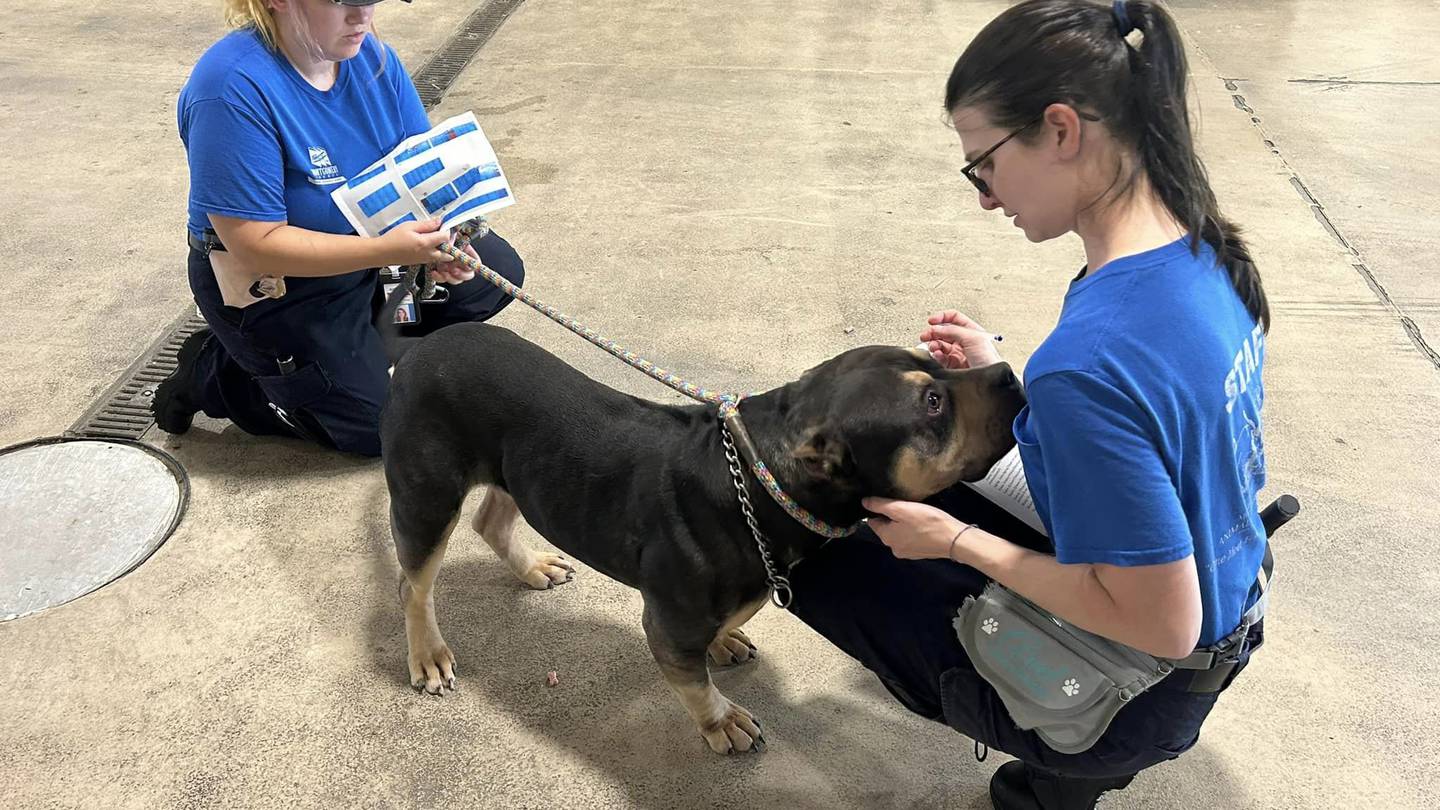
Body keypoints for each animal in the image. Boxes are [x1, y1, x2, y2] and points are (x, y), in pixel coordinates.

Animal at [383, 321, 1025, 749]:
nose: (1008, 371)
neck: (760, 479)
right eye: (933, 402)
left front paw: (722, 642)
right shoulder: (668, 625)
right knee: (414, 585)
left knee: (490, 519)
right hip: (426, 495)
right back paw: (428, 654)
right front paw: (722, 720)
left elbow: (726, 627)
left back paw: (532, 567)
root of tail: (416, 348)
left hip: (515, 471)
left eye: (936, 359)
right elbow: (693, 684)